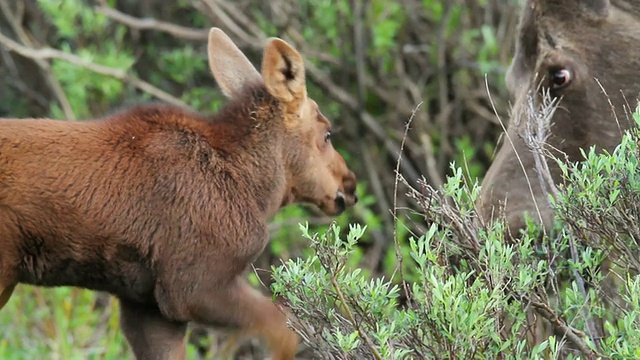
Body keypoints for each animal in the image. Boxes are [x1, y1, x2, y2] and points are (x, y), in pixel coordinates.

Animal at [0, 26, 360, 358]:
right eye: (327, 134)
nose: (350, 186)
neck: (255, 189)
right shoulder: (190, 286)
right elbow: (283, 330)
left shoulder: (146, 304)